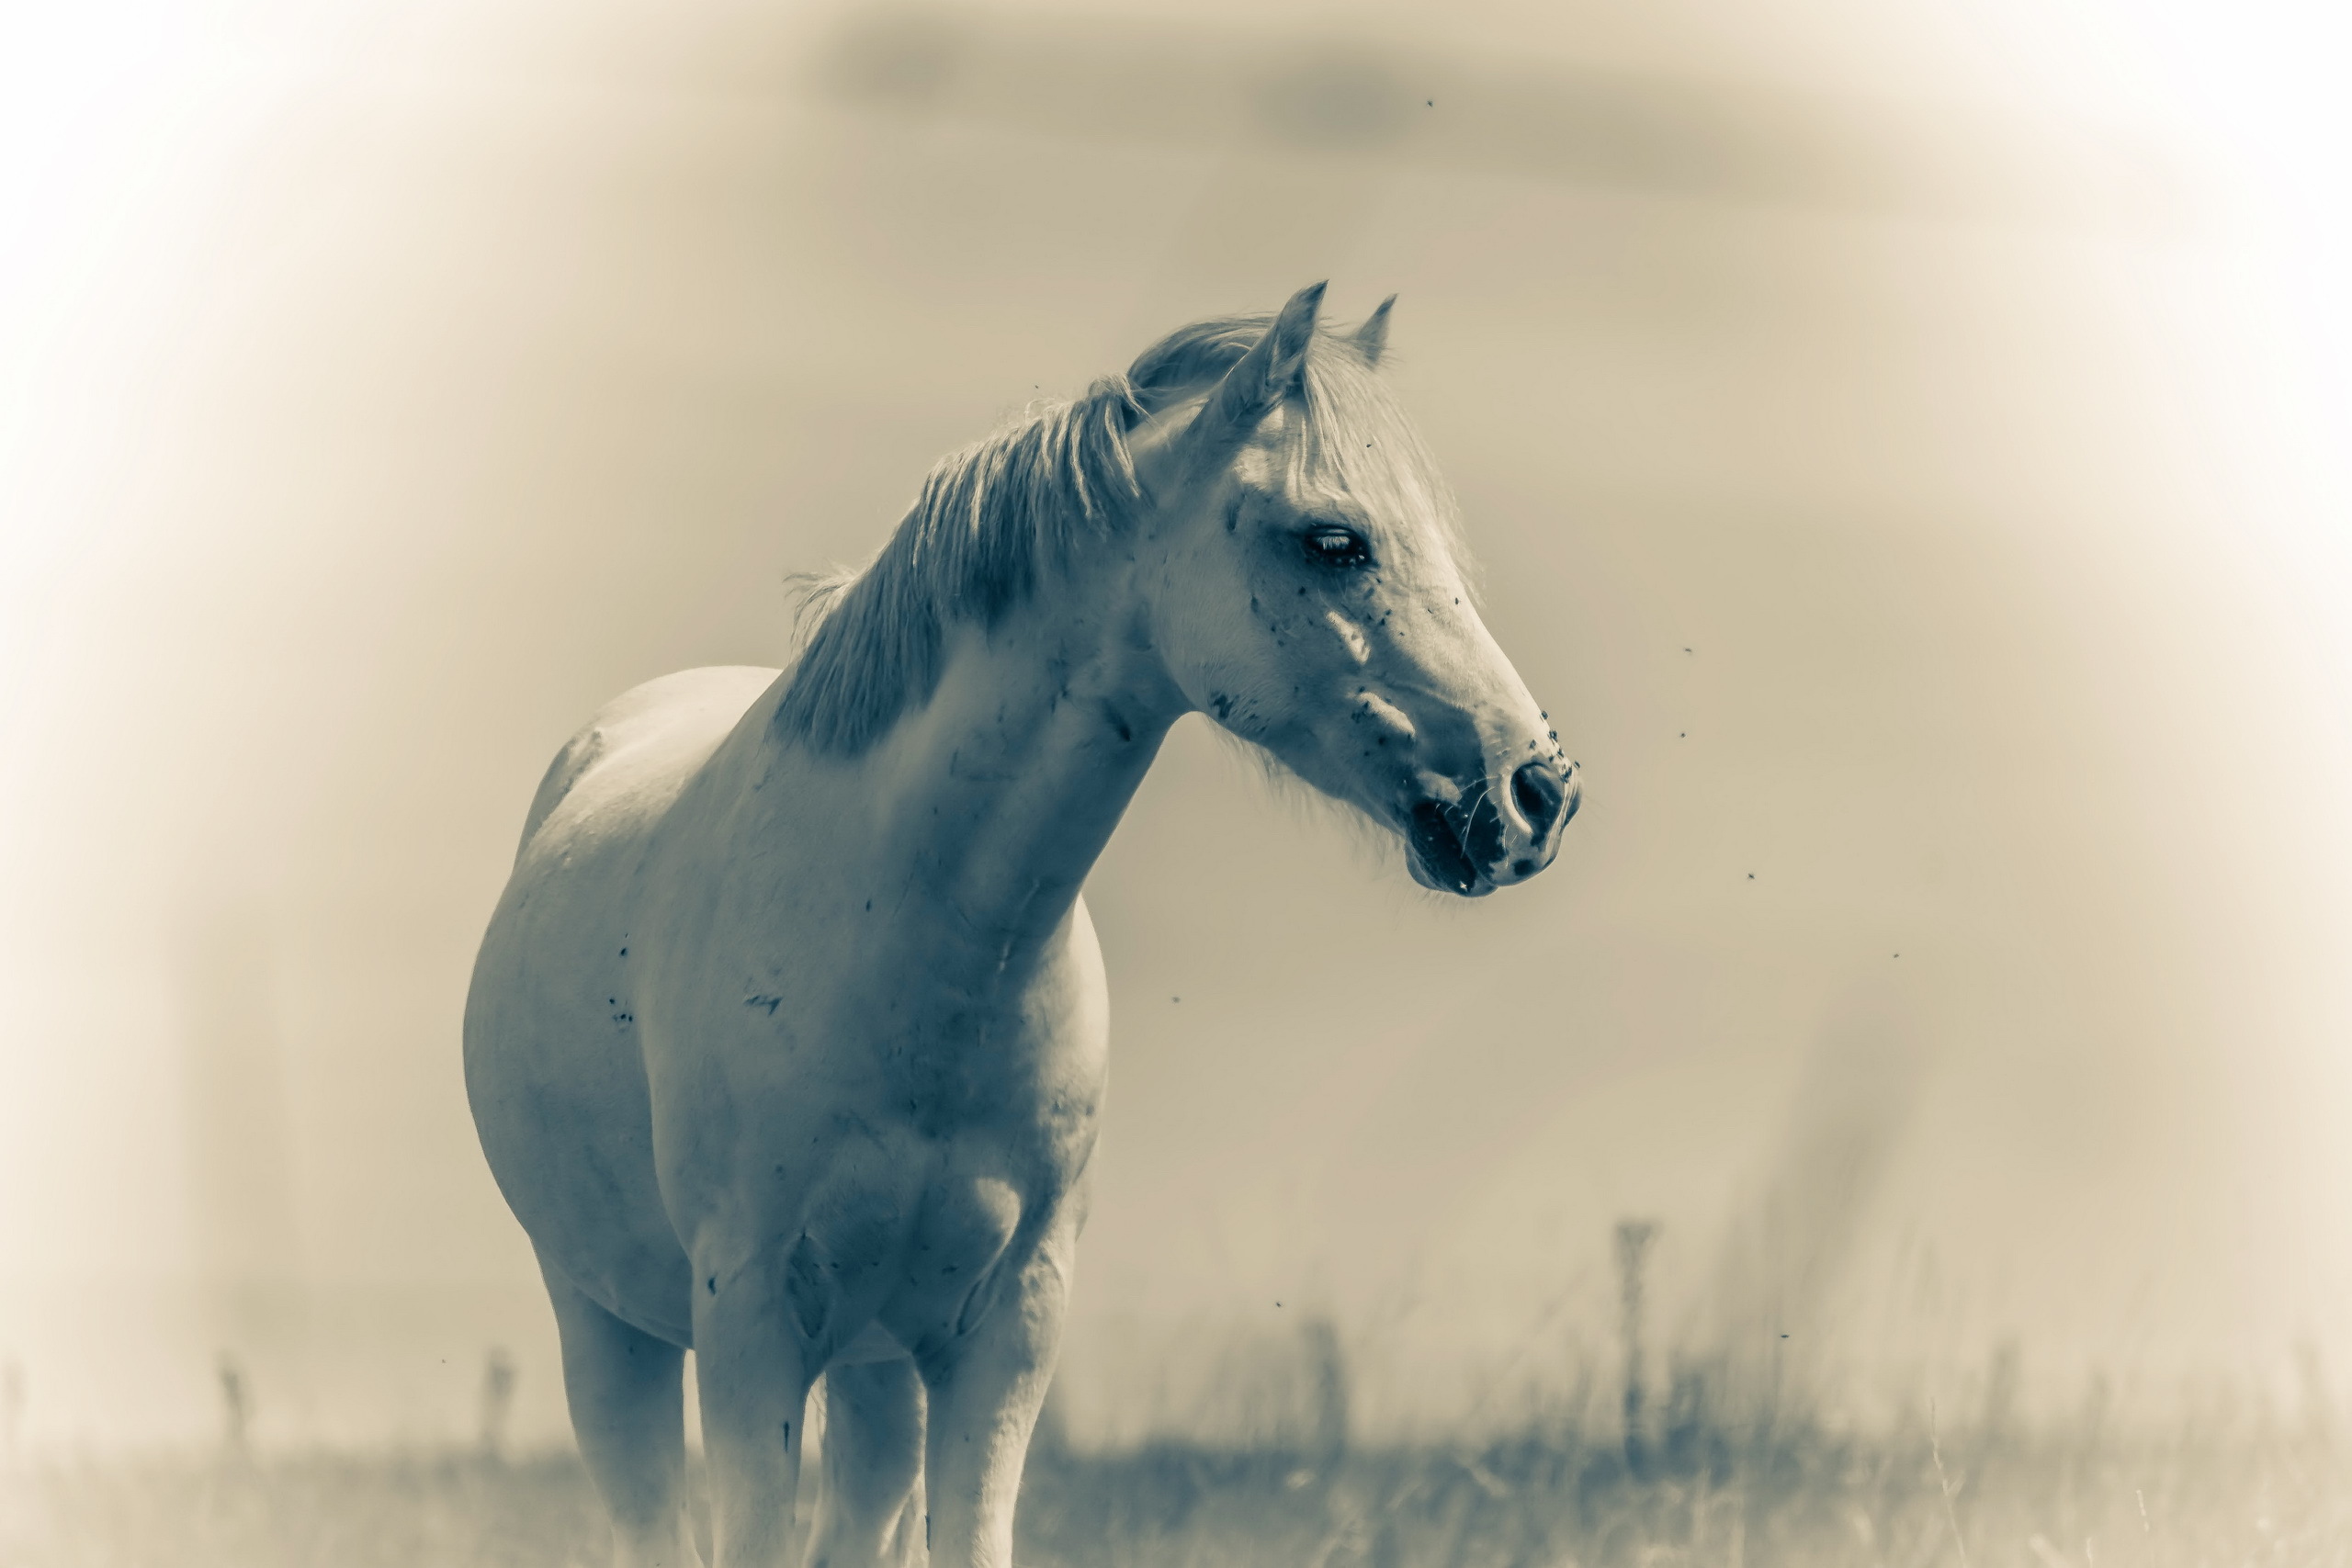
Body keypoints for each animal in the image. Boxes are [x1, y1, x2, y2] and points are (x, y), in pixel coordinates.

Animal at [460, 285, 1580, 1568]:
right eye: (1333, 539)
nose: (1535, 793)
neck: (906, 941)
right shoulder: (749, 1323)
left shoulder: (1005, 1328)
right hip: (608, 1329)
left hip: (876, 1370)